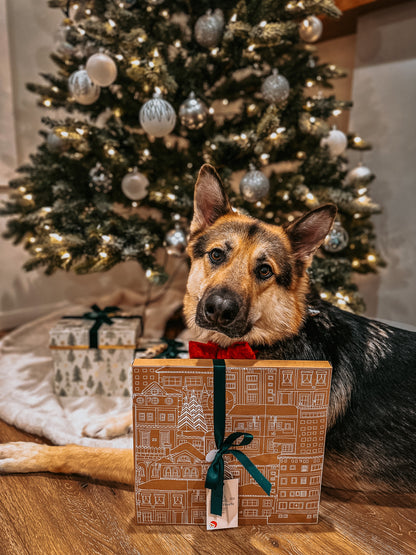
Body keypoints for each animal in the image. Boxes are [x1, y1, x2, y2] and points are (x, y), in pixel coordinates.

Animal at [0, 165, 416, 496]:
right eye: (217, 254)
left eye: (264, 271)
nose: (218, 309)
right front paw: (110, 419)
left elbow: (83, 454)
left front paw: (28, 452)